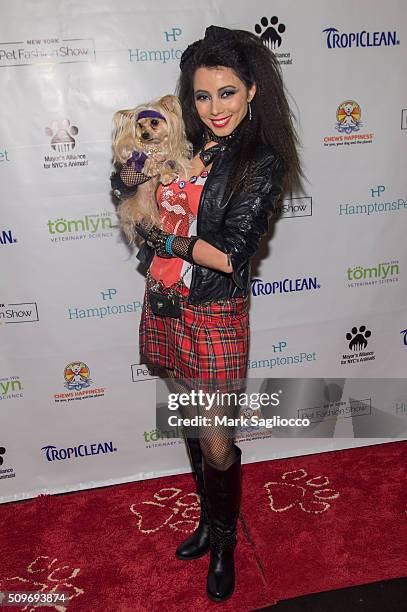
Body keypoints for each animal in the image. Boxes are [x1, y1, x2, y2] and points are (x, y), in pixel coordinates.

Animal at [111, 94, 192, 245]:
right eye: (140, 125)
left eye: (154, 122)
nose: (144, 135)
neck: (155, 147)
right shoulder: (136, 157)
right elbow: (143, 157)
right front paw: (150, 167)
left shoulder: (172, 157)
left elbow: (167, 164)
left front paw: (166, 175)